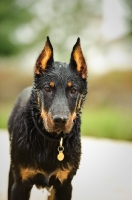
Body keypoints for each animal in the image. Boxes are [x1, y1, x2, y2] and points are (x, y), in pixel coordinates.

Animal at [7, 36, 87, 199]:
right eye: (47, 88)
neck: (49, 141)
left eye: (73, 90)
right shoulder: (20, 184)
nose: (60, 120)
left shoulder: (64, 185)